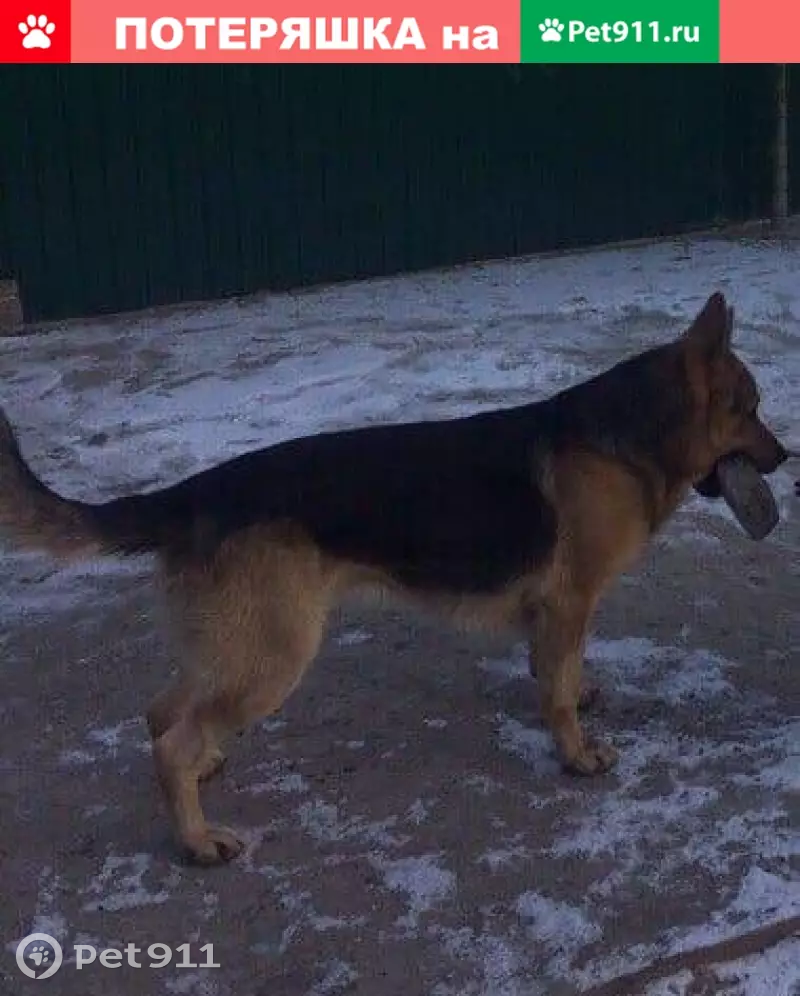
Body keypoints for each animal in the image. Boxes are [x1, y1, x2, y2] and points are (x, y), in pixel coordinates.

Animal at [0, 291, 788, 864]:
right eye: (749, 409)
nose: (786, 458)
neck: (631, 436)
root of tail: (193, 493)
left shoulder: (560, 613)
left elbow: (558, 670)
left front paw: (576, 691)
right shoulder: (570, 601)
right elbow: (558, 692)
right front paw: (575, 752)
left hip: (237, 650)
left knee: (164, 712)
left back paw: (202, 774)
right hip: (275, 658)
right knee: (171, 737)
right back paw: (195, 841)